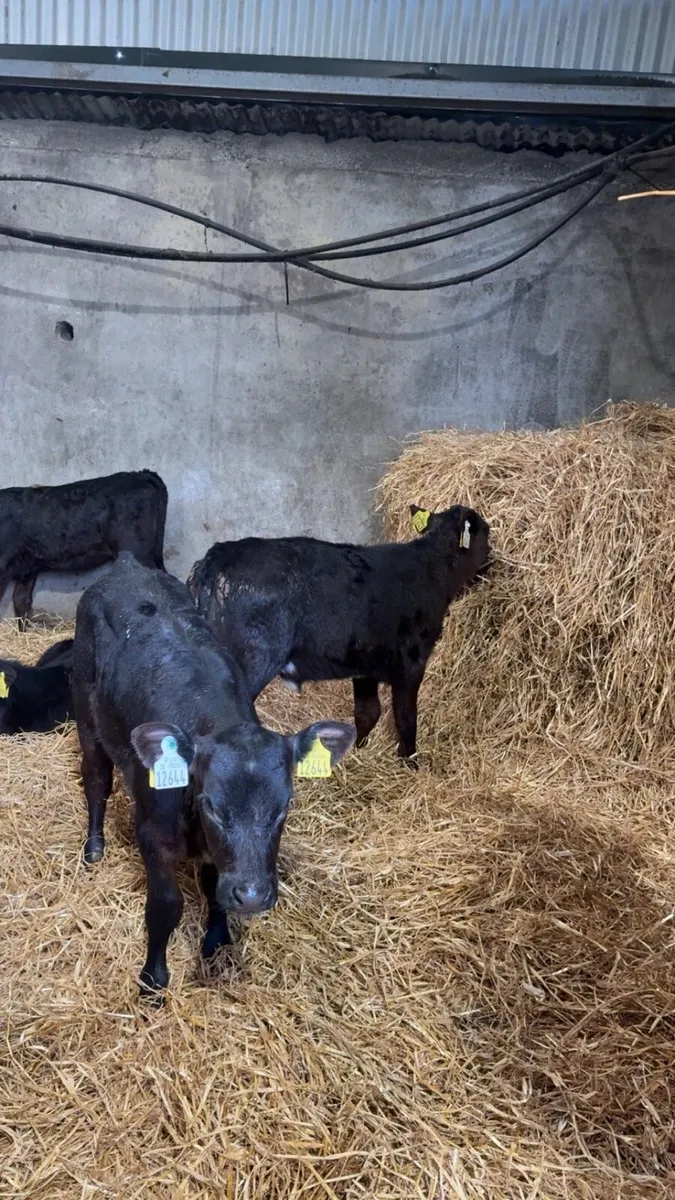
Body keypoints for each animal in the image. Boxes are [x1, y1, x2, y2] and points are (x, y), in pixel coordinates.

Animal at [72, 553, 355, 999]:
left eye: (284, 807)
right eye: (213, 806)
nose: (252, 896)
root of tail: (128, 567)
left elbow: (215, 890)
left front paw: (217, 941)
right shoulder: (151, 834)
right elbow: (166, 906)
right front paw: (153, 979)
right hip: (86, 714)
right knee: (96, 778)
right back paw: (94, 847)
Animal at [186, 504, 490, 764]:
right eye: (486, 534)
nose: (490, 566)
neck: (430, 569)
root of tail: (222, 553)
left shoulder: (365, 665)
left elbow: (367, 712)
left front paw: (357, 751)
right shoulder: (411, 663)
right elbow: (406, 719)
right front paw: (410, 764)